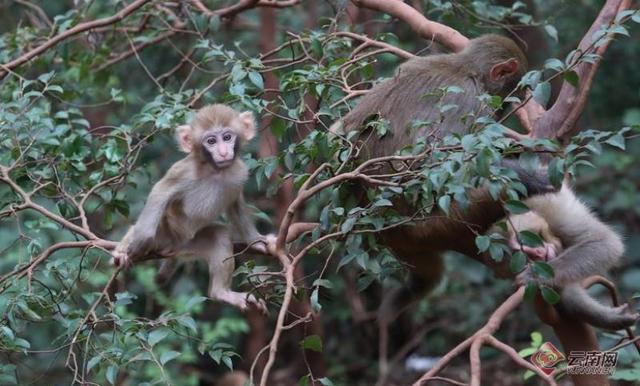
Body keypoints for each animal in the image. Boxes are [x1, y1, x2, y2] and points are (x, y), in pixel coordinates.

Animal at [112, 104, 272, 312]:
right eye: (211, 141)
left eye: (227, 137)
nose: (223, 152)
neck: (215, 170)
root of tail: (172, 246)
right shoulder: (183, 171)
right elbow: (160, 193)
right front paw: (140, 241)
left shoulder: (239, 171)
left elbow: (235, 203)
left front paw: (256, 240)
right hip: (164, 234)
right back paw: (125, 247)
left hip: (188, 246)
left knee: (219, 234)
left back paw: (222, 293)